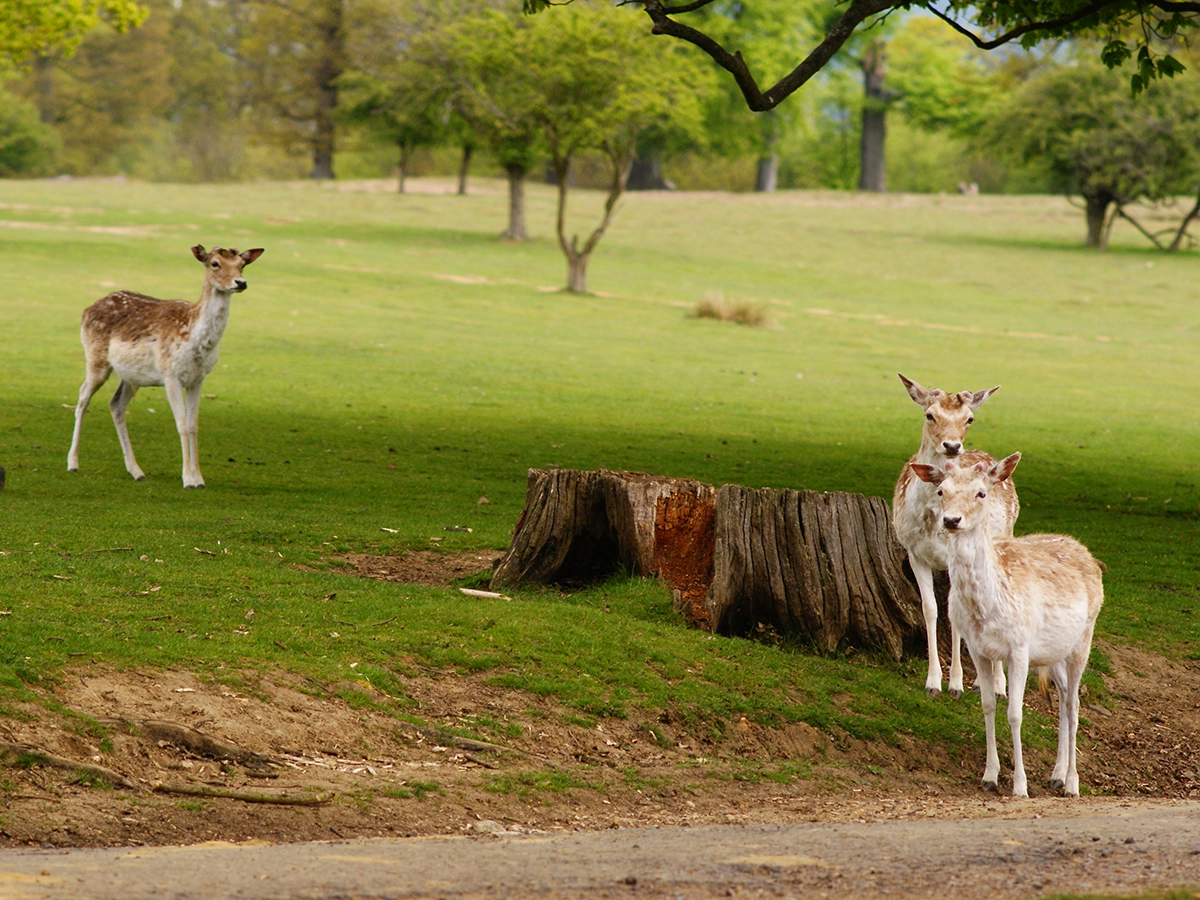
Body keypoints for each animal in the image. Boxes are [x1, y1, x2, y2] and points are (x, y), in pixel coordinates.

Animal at [67, 245, 264, 488]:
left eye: (242, 264)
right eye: (215, 263)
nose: (240, 282)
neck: (194, 339)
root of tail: (87, 309)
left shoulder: (198, 378)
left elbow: (193, 424)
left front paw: (199, 479)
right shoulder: (170, 374)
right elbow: (181, 424)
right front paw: (187, 479)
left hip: (131, 376)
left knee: (116, 404)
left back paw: (136, 471)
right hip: (96, 358)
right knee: (83, 396)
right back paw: (73, 463)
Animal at [893, 373, 1018, 698]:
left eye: (969, 418)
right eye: (929, 414)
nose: (952, 445)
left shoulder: (955, 559)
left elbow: (954, 616)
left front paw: (956, 683)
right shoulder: (914, 553)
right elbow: (930, 610)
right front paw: (933, 681)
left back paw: (996, 685)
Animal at [910, 454, 1104, 797]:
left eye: (981, 492)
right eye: (941, 491)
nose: (951, 520)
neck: (987, 609)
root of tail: (1088, 555)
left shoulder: (1019, 647)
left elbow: (1015, 714)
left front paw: (1020, 786)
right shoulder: (978, 648)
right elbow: (988, 705)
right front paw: (989, 776)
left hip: (1084, 637)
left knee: (1074, 703)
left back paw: (1072, 783)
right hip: (1052, 651)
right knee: (1064, 697)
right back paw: (1056, 774)